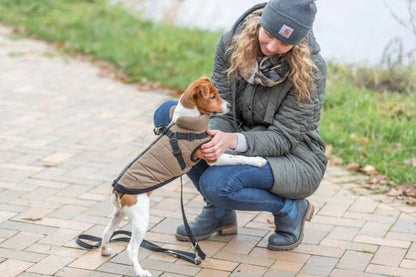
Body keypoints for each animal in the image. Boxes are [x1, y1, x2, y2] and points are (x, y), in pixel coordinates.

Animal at [99, 76, 264, 276]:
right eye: (213, 97)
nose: (229, 106)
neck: (187, 122)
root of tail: (118, 190)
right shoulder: (212, 157)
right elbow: (237, 157)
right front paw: (259, 160)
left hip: (119, 214)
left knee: (106, 233)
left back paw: (105, 250)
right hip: (140, 219)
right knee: (131, 249)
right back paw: (140, 271)